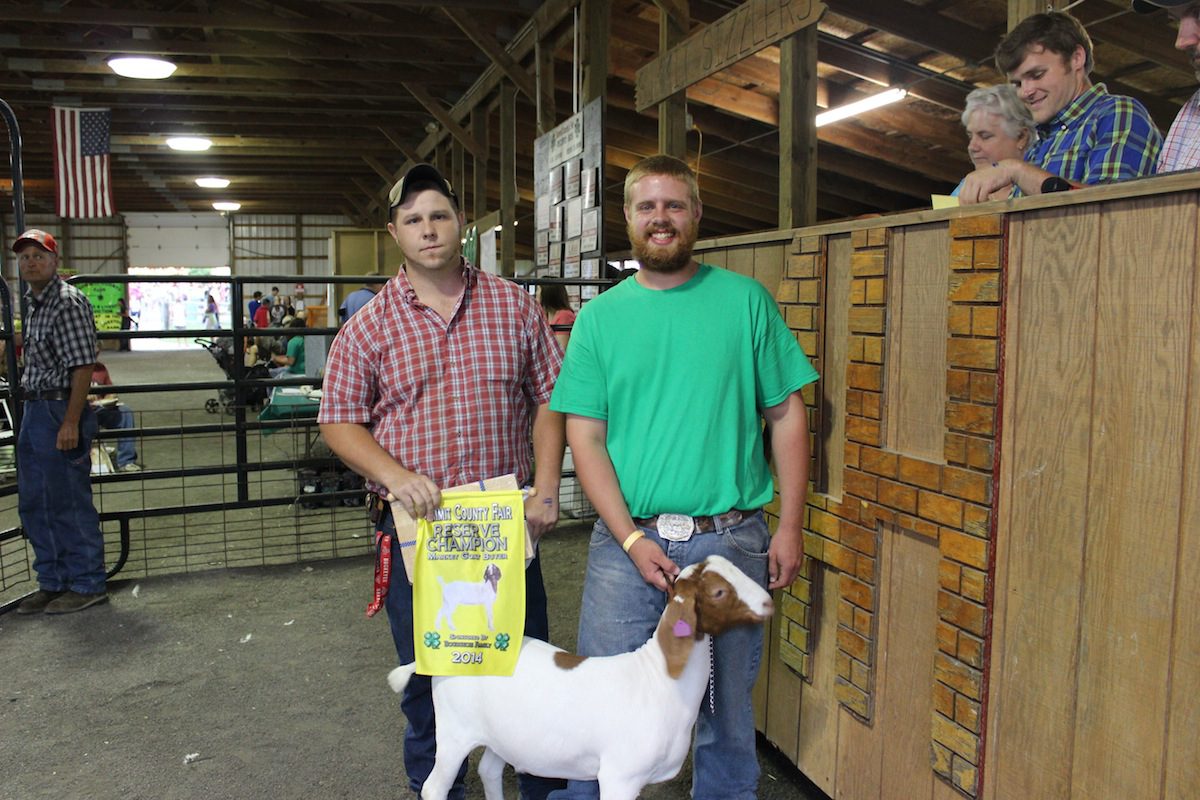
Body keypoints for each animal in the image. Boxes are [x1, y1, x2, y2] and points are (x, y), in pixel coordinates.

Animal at [387, 554, 774, 800]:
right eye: (719, 592)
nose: (768, 602)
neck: (659, 680)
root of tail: (444, 655)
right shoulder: (619, 776)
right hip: (454, 732)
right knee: (434, 787)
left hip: (503, 734)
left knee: (489, 770)